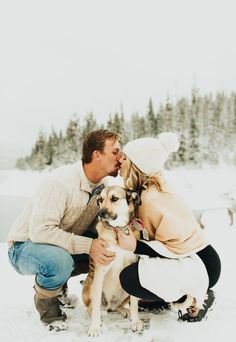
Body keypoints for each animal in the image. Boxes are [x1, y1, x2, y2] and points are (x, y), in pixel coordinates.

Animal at [82, 184, 143, 336]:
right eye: (100, 200)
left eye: (114, 198)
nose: (101, 213)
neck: (117, 230)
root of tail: (109, 304)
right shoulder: (101, 270)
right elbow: (96, 306)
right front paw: (94, 327)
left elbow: (134, 303)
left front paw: (135, 322)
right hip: (90, 283)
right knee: (92, 307)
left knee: (116, 307)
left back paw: (125, 311)